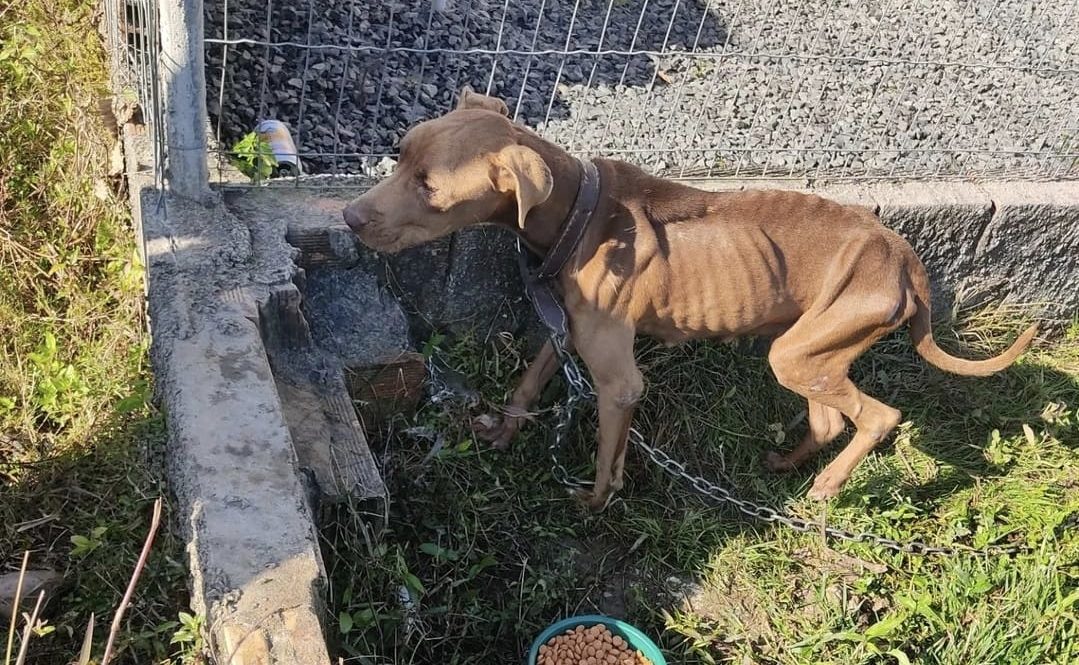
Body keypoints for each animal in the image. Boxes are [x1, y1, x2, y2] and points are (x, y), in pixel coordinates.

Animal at [345, 86, 1035, 509]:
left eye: (430, 187)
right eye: (400, 154)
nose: (349, 218)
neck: (579, 213)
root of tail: (904, 257)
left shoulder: (620, 381)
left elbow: (608, 453)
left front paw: (595, 501)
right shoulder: (564, 330)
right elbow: (528, 383)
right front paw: (502, 434)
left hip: (802, 352)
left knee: (878, 418)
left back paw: (824, 489)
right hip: (813, 353)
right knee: (830, 418)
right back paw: (787, 466)